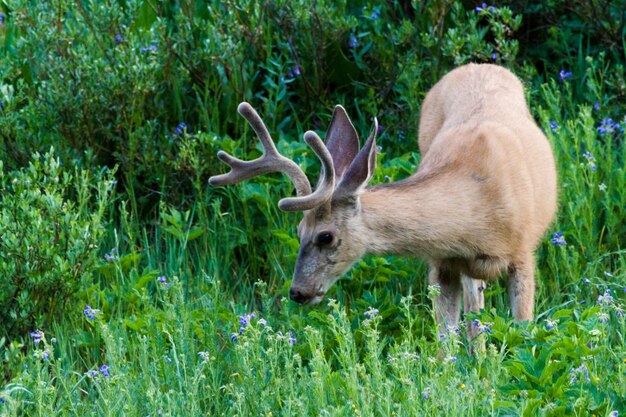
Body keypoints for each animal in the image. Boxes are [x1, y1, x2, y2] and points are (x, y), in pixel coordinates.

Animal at [208, 63, 556, 340]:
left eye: (326, 236)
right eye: (298, 231)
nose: (297, 292)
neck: (475, 214)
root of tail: (478, 64)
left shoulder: (523, 255)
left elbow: (524, 332)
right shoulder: (441, 263)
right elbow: (444, 344)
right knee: (474, 313)